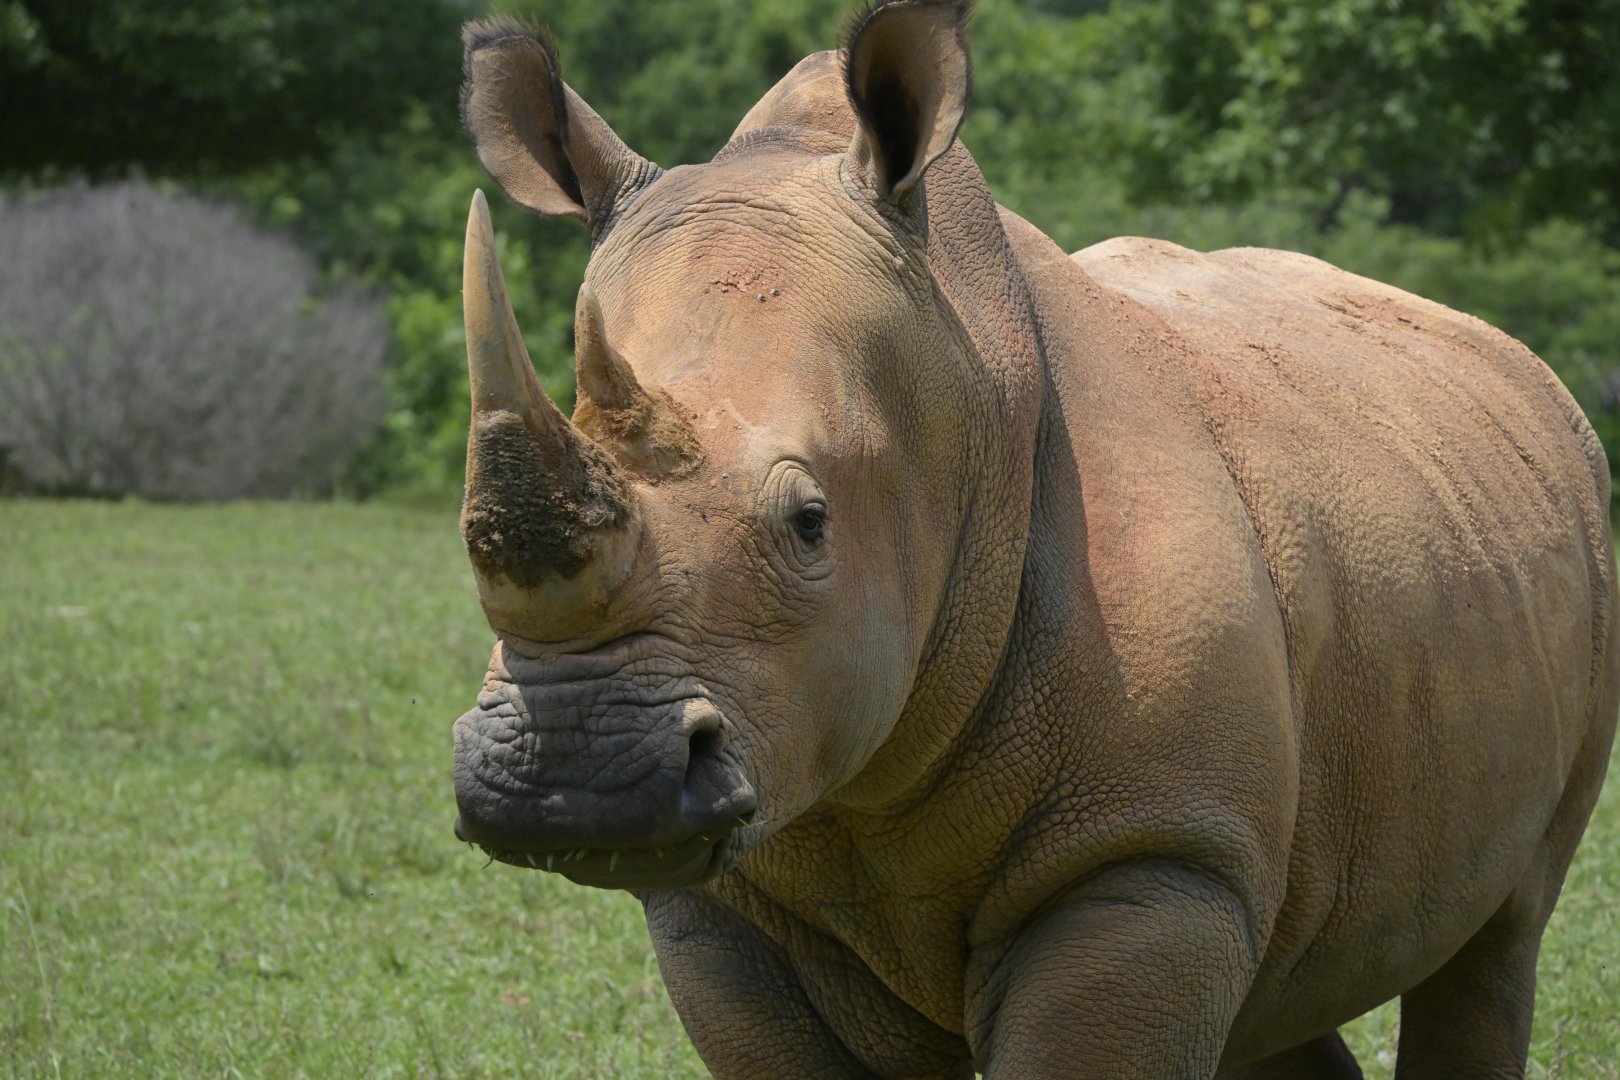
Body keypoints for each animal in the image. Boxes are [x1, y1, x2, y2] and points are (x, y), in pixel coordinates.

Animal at [447, 3, 1619, 1076]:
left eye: (809, 524)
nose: (570, 770)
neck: (957, 391)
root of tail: (1512, 357)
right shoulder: (731, 902)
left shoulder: (1149, 856)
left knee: (1500, 937)